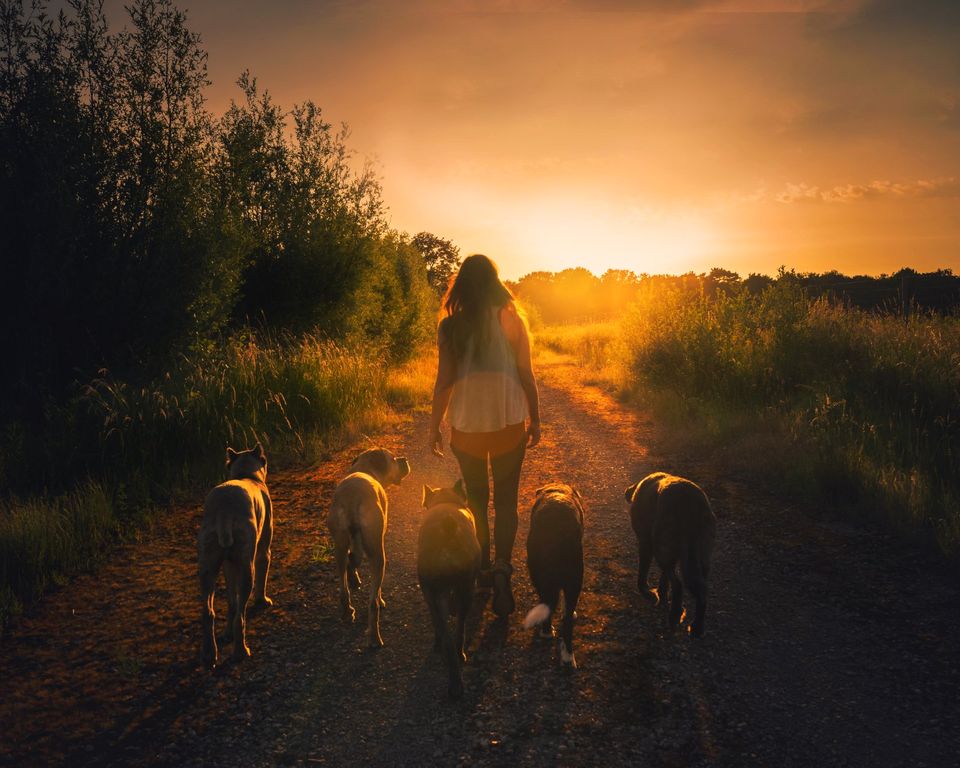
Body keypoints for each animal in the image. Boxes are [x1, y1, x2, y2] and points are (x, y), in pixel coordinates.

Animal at [199, 444, 272, 664]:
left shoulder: (228, 565)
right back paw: (240, 651)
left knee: (209, 613)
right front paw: (262, 601)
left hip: (208, 569)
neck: (246, 475)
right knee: (241, 613)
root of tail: (225, 511)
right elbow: (261, 582)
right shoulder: (263, 553)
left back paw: (209, 654)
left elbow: (231, 601)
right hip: (247, 567)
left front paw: (227, 633)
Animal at [326, 448, 408, 644]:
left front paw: (354, 578)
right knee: (373, 603)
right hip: (378, 556)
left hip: (339, 546)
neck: (365, 469)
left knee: (343, 583)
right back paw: (375, 637)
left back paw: (347, 610)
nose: (405, 459)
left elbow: (352, 561)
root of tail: (351, 499)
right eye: (394, 459)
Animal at [418, 484, 480, 700]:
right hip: (466, 588)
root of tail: (447, 531)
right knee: (459, 627)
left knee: (446, 632)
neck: (445, 500)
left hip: (437, 593)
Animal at [524, 484, 584, 668]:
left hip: (543, 576)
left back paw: (549, 635)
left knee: (550, 605)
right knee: (566, 622)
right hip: (573, 580)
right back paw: (566, 653)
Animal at [628, 472, 716, 640]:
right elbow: (664, 580)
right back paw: (697, 627)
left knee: (678, 584)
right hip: (702, 557)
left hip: (662, 547)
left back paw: (675, 614)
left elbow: (643, 573)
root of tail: (691, 504)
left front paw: (648, 592)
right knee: (702, 589)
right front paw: (662, 595)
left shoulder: (646, 543)